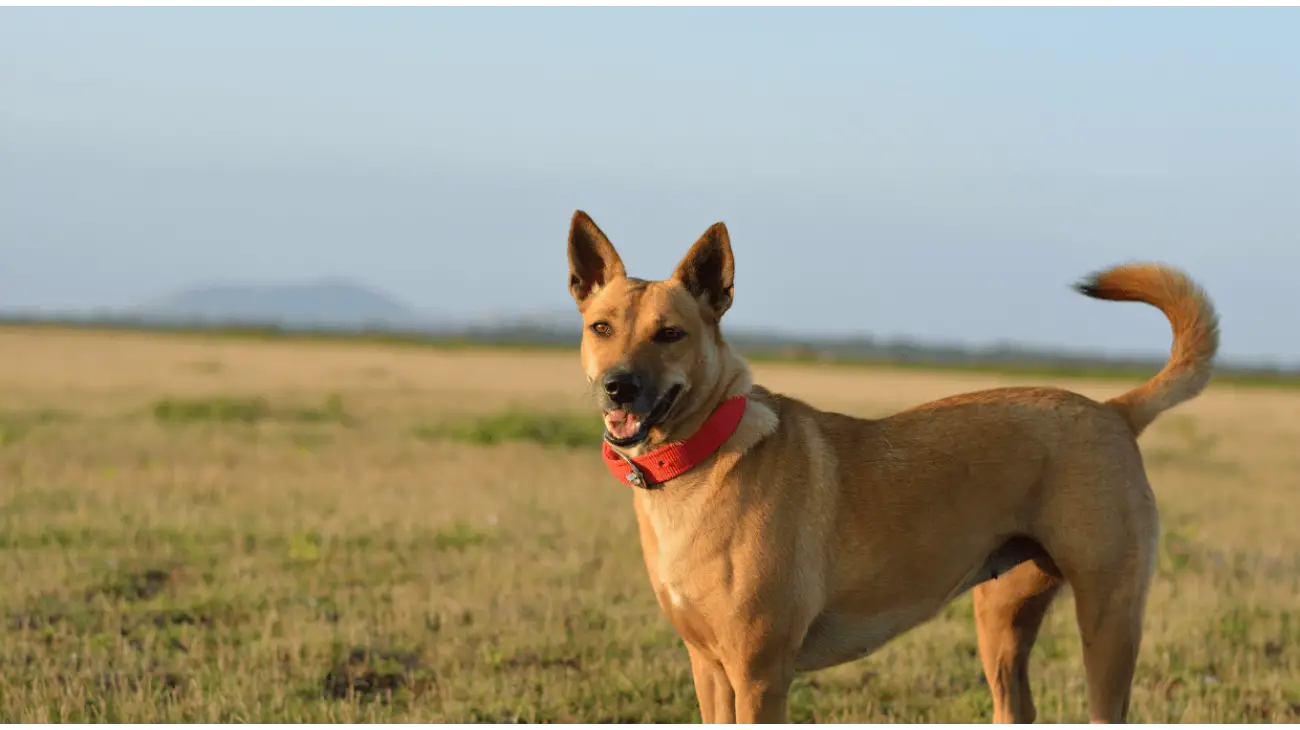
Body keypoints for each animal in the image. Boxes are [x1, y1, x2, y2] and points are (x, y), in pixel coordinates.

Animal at [566, 207, 1216, 722]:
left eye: (670, 334)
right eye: (601, 328)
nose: (619, 387)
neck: (699, 459)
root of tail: (1113, 410)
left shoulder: (759, 674)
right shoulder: (708, 667)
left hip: (1108, 619)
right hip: (1001, 618)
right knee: (1016, 707)